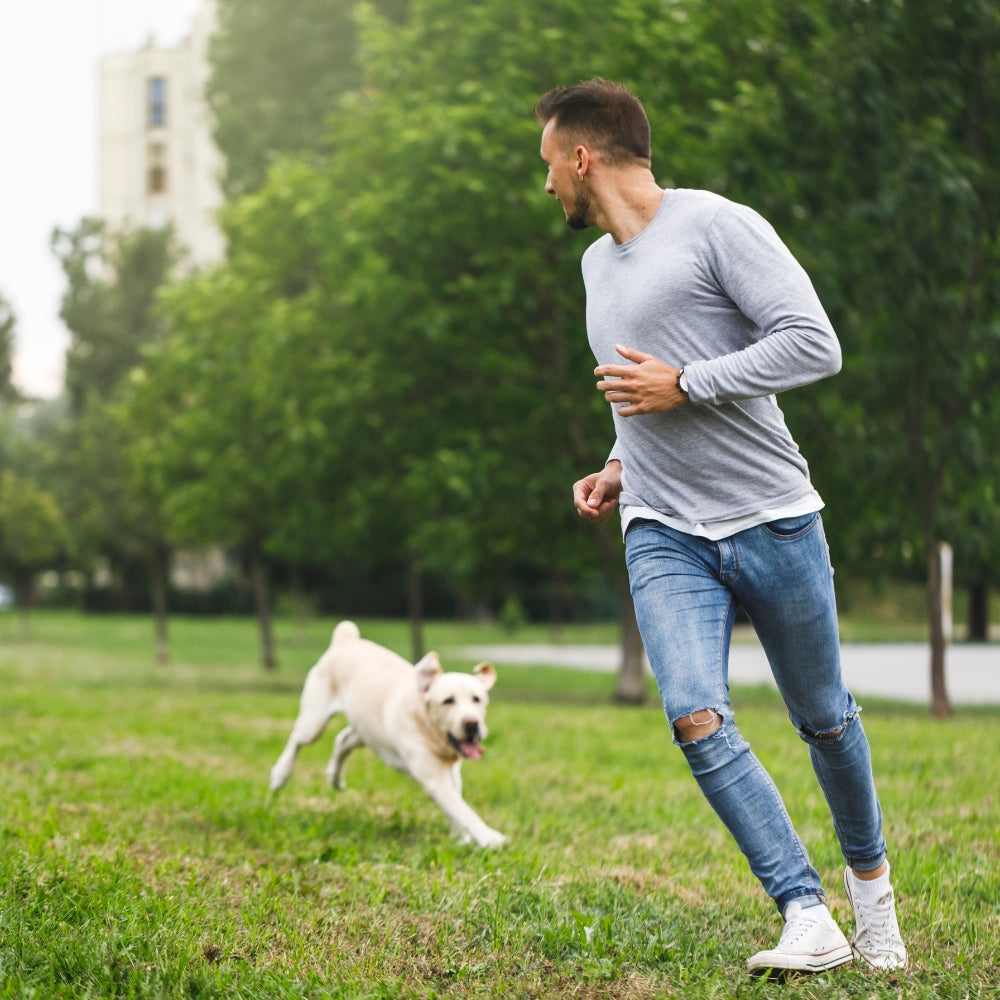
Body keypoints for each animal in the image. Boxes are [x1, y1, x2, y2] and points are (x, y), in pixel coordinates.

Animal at [268, 620, 508, 848]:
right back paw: (280, 774)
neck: (429, 728)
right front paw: (489, 837)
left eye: (477, 699)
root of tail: (346, 640)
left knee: (342, 740)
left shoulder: (451, 773)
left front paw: (461, 837)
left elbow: (456, 805)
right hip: (314, 722)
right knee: (297, 739)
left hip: (367, 729)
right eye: (448, 701)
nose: (472, 724)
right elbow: (462, 809)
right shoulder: (433, 777)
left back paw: (334, 777)